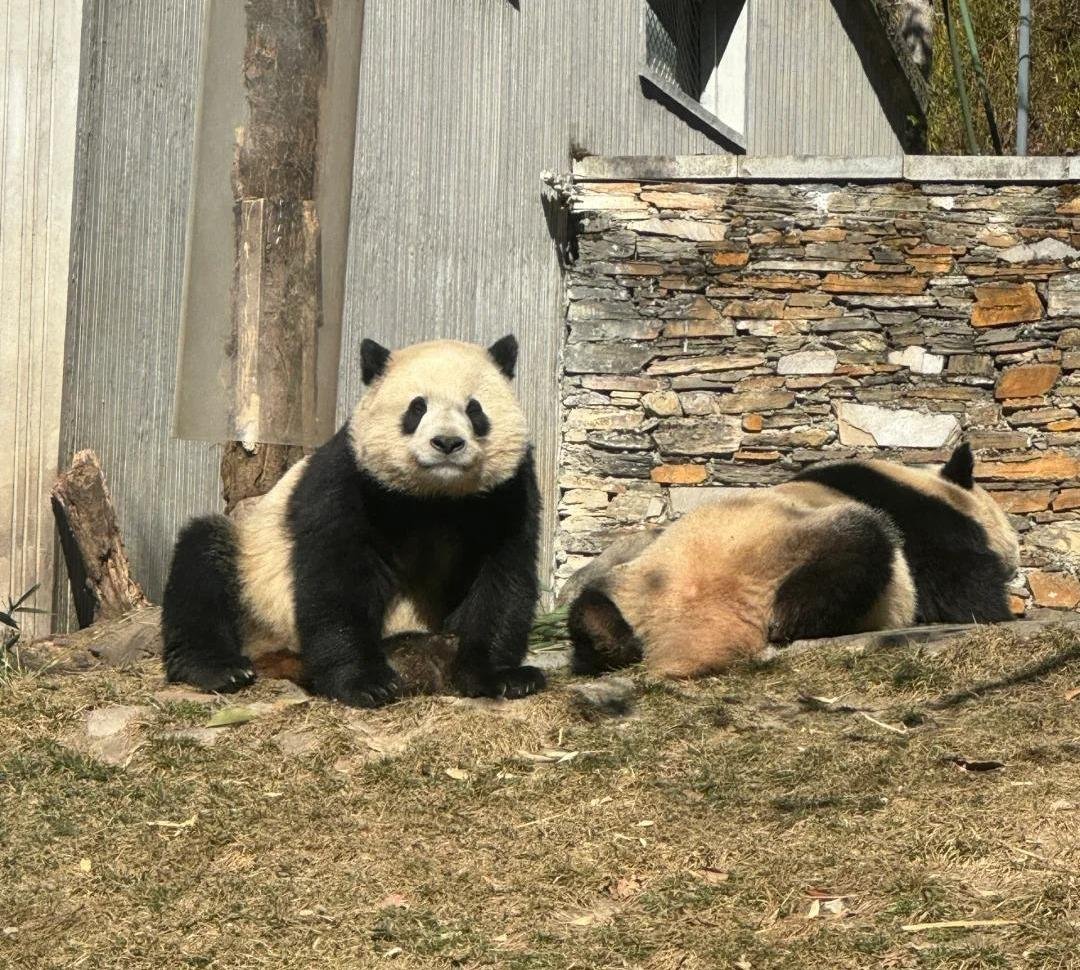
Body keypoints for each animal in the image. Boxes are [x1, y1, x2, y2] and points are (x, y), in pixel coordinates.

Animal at [161, 335, 545, 707]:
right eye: (416, 408)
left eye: (474, 409)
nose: (447, 443)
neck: (436, 495)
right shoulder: (349, 481)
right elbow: (336, 578)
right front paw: (366, 683)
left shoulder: (506, 494)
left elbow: (503, 579)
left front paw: (501, 677)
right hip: (253, 576)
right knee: (203, 562)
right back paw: (218, 669)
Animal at [567, 443, 1019, 679]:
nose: (1015, 568)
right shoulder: (929, 523)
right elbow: (960, 584)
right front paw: (999, 609)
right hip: (797, 540)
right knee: (861, 541)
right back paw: (793, 619)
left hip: (635, 577)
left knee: (590, 601)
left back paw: (607, 640)